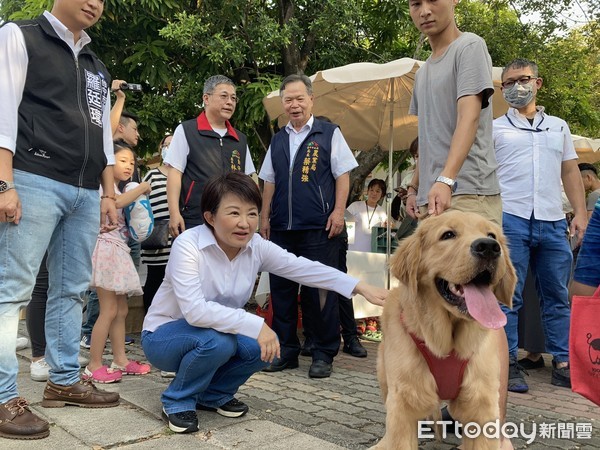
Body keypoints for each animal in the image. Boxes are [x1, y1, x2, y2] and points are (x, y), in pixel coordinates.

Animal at [370, 211, 516, 450]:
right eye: (448, 235)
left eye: (491, 235)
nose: (489, 247)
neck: (448, 344)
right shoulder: (404, 402)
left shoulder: (481, 404)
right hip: (384, 374)